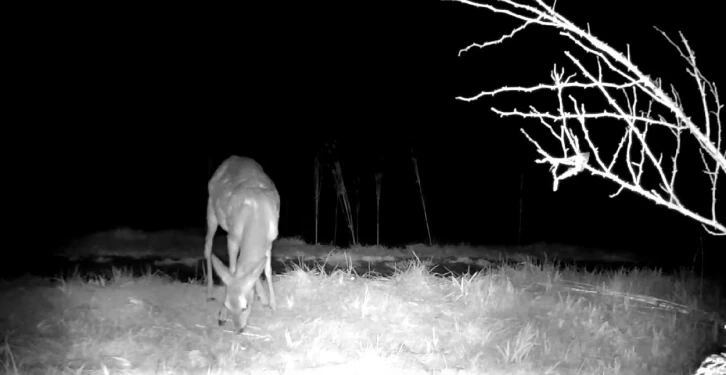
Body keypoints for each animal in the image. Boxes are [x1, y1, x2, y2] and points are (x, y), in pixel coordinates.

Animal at [203, 157, 280, 334]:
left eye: (246, 306)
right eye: (227, 304)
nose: (239, 329)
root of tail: (233, 157)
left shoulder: (270, 239)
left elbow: (267, 270)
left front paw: (272, 304)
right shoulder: (232, 236)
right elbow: (232, 270)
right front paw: (222, 315)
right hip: (211, 210)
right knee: (208, 246)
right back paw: (209, 292)